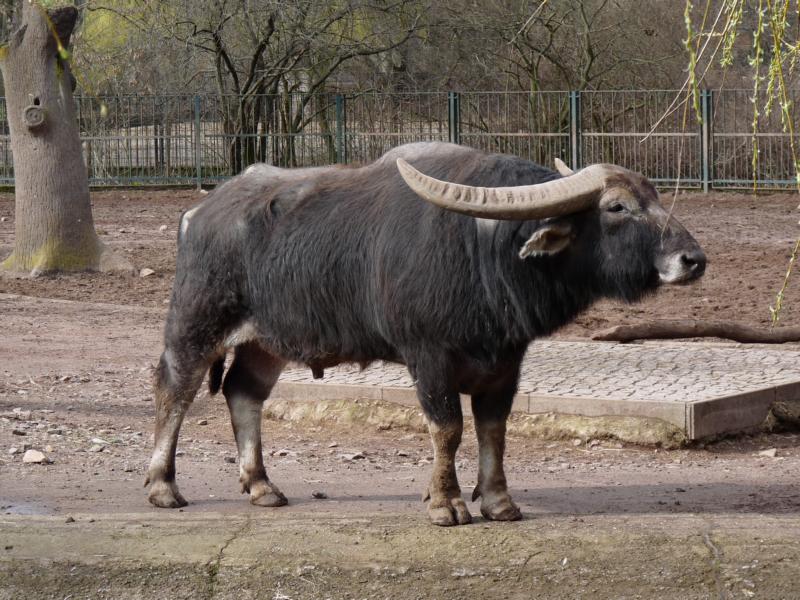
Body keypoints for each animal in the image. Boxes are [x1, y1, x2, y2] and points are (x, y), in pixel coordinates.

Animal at [145, 142, 705, 527]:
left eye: (655, 196)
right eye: (617, 207)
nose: (693, 259)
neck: (484, 247)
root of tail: (199, 212)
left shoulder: (505, 363)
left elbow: (494, 430)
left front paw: (498, 500)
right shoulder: (429, 358)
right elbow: (448, 428)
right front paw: (447, 503)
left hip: (267, 343)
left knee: (243, 393)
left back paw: (262, 485)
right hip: (196, 323)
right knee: (175, 389)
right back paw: (163, 486)